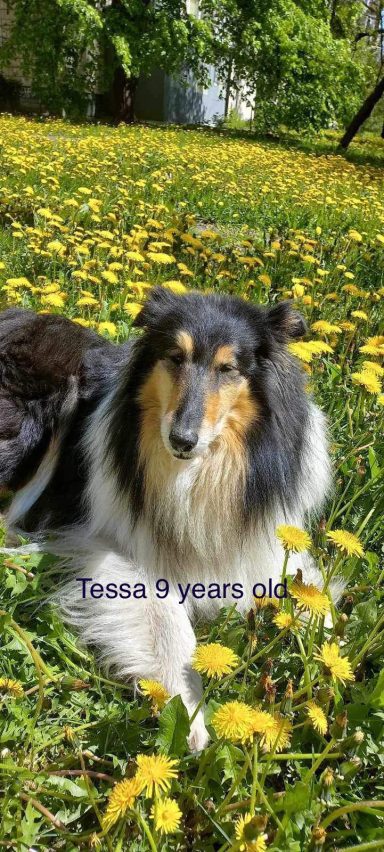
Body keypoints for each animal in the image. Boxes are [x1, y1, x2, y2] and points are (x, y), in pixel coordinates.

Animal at [0, 292, 332, 752]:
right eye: (175, 357)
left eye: (228, 368)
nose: (182, 440)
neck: (199, 473)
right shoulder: (102, 543)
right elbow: (168, 619)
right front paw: (188, 709)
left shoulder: (266, 544)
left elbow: (317, 599)